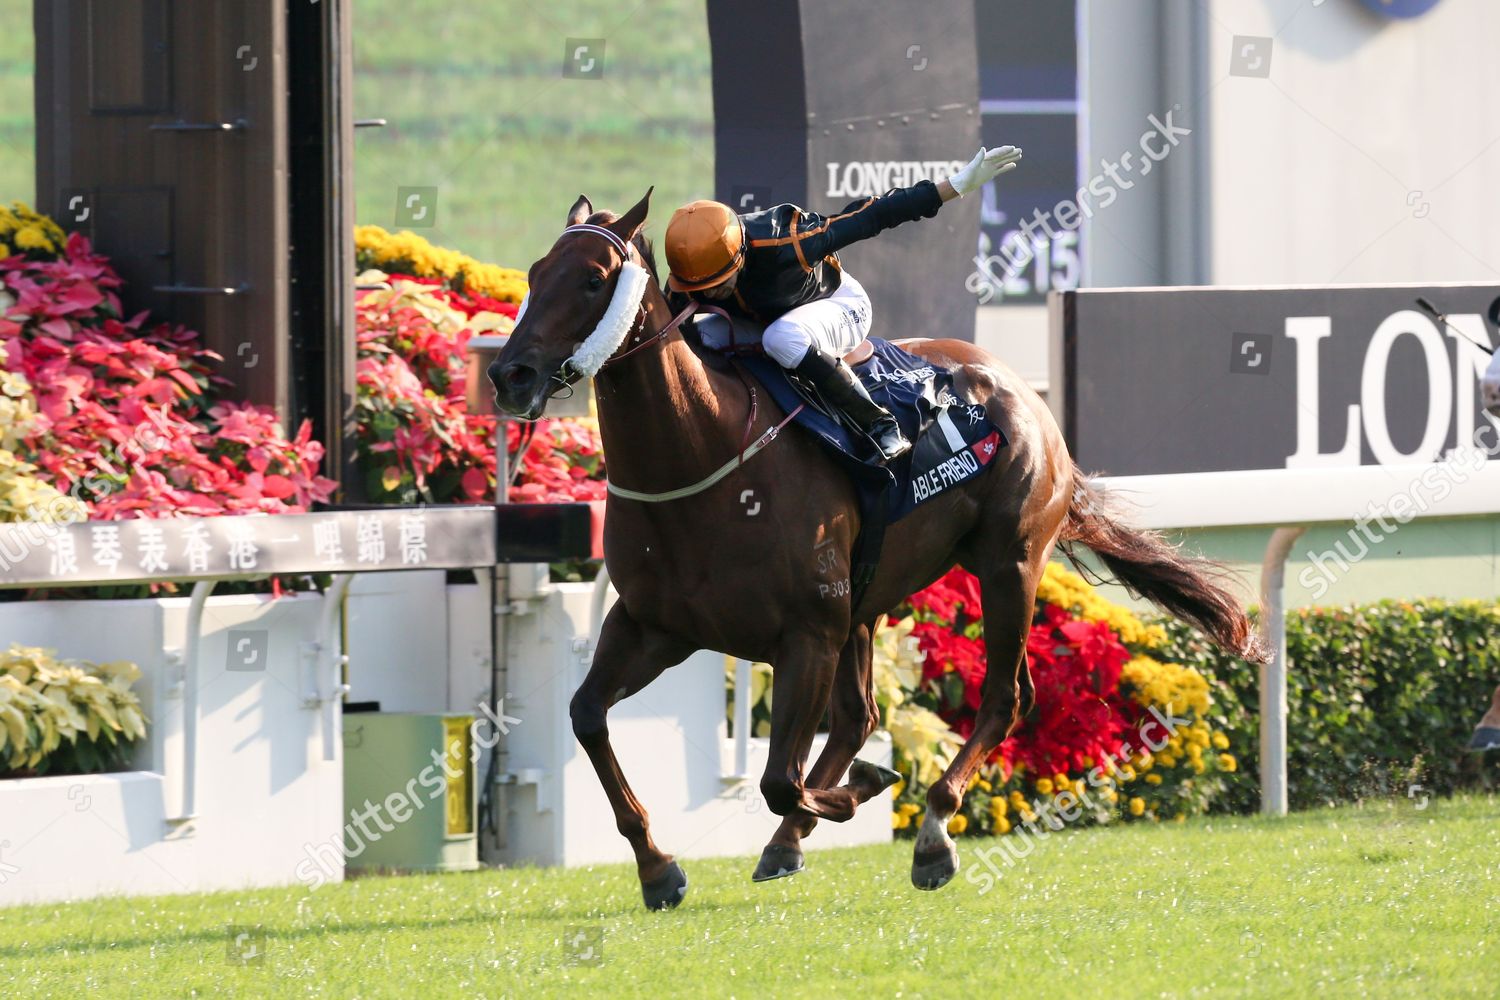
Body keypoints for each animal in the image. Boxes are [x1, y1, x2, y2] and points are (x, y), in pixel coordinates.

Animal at [486, 189, 1260, 917]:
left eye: (593, 279)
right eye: (535, 271)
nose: (510, 375)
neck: (703, 454)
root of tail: (1021, 390)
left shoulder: (806, 634)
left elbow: (778, 779)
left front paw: (866, 791)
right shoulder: (654, 626)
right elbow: (588, 717)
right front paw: (657, 866)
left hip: (1007, 563)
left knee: (1003, 698)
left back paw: (932, 831)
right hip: (869, 599)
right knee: (864, 717)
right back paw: (792, 842)